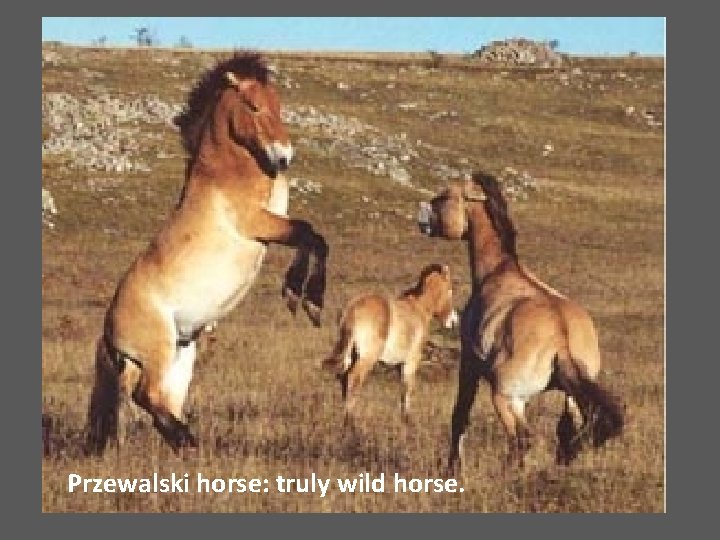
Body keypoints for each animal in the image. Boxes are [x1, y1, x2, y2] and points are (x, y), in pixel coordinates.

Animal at [85, 52, 329, 455]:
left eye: (279, 104)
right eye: (253, 105)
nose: (284, 158)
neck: (227, 173)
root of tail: (108, 334)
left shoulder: (275, 222)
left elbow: (311, 237)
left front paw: (301, 298)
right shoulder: (258, 223)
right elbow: (310, 235)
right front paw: (305, 299)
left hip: (180, 358)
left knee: (158, 404)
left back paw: (185, 443)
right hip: (158, 351)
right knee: (145, 396)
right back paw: (189, 440)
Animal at [322, 264, 458, 426]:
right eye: (450, 290)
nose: (453, 321)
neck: (418, 307)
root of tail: (353, 309)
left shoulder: (399, 365)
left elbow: (402, 389)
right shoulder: (411, 361)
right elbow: (408, 387)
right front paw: (408, 420)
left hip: (351, 356)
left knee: (343, 378)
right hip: (367, 358)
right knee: (352, 378)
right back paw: (350, 422)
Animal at [417, 172, 624, 473]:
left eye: (444, 196)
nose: (423, 220)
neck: (497, 271)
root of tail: (561, 341)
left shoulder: (469, 362)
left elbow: (460, 416)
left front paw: (453, 469)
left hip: (507, 398)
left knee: (522, 439)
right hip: (569, 399)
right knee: (567, 436)